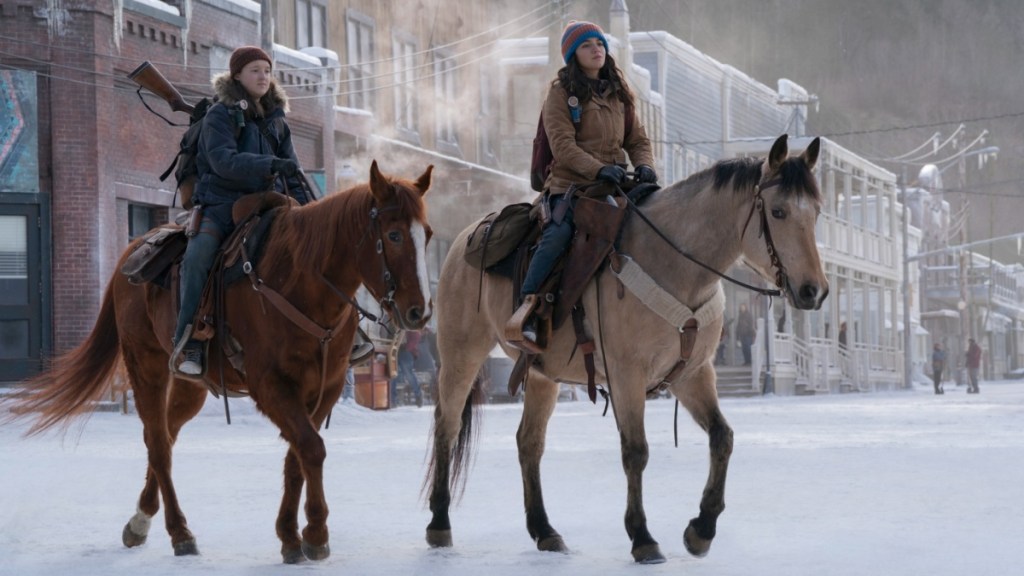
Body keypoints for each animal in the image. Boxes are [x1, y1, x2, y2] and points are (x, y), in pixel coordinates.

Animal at [2, 159, 432, 561]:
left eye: (426, 235)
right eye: (393, 235)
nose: (419, 312)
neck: (300, 282)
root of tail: (131, 252)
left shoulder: (324, 386)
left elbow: (297, 454)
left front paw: (290, 535)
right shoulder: (270, 385)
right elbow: (310, 448)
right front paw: (315, 534)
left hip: (190, 386)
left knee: (165, 436)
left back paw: (140, 520)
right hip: (145, 365)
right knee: (157, 442)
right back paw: (179, 532)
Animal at [428, 133, 827, 561]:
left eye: (817, 212)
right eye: (779, 211)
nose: (814, 290)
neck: (674, 266)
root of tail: (464, 240)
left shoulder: (692, 374)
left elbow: (723, 437)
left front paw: (701, 528)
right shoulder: (626, 376)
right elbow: (636, 451)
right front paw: (642, 537)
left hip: (541, 374)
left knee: (529, 442)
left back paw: (545, 530)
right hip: (461, 354)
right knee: (447, 427)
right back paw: (439, 523)